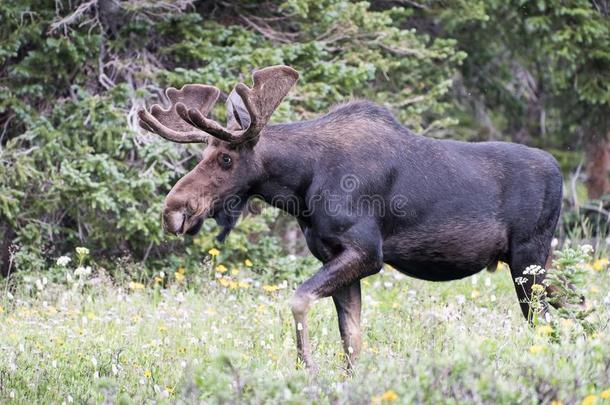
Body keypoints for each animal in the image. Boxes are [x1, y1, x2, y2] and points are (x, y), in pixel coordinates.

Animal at [138, 64, 560, 370]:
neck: (302, 185)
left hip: (528, 258)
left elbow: (299, 301)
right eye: (203, 154)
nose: (173, 210)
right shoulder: (335, 255)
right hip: (539, 262)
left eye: (226, 158)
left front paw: (306, 368)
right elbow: (352, 339)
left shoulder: (366, 253)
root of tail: (557, 171)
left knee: (542, 319)